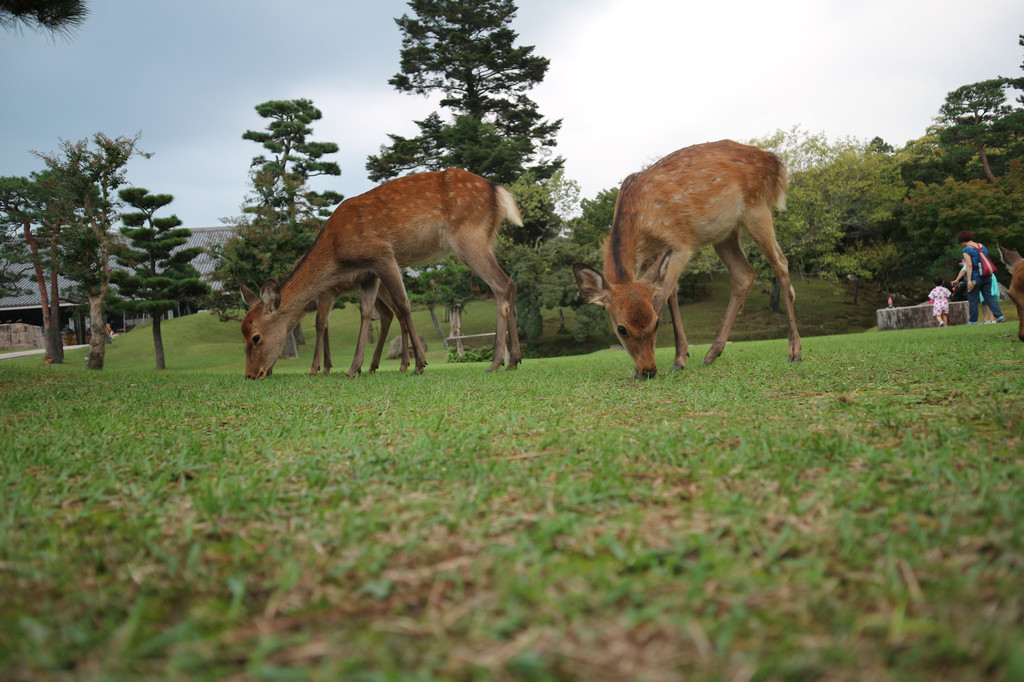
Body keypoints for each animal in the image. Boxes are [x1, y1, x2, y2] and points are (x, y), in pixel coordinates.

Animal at [240, 164, 524, 376]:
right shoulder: (367, 273)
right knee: (510, 284)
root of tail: (498, 190)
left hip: (468, 237)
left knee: (501, 285)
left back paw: (496, 362)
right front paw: (354, 368)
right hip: (485, 239)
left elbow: (403, 304)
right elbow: (366, 313)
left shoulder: (382, 255)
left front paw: (420, 364)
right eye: (242, 334)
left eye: (255, 337)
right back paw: (514, 360)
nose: (251, 374)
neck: (336, 252)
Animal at [577, 139, 798, 378]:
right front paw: (679, 358)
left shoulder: (680, 243)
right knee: (744, 274)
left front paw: (674, 361)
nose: (648, 371)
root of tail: (775, 162)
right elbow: (672, 293)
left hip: (757, 209)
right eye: (621, 329)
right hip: (725, 233)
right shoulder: (654, 258)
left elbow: (662, 297)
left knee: (780, 263)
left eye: (656, 324)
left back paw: (794, 351)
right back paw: (711, 354)